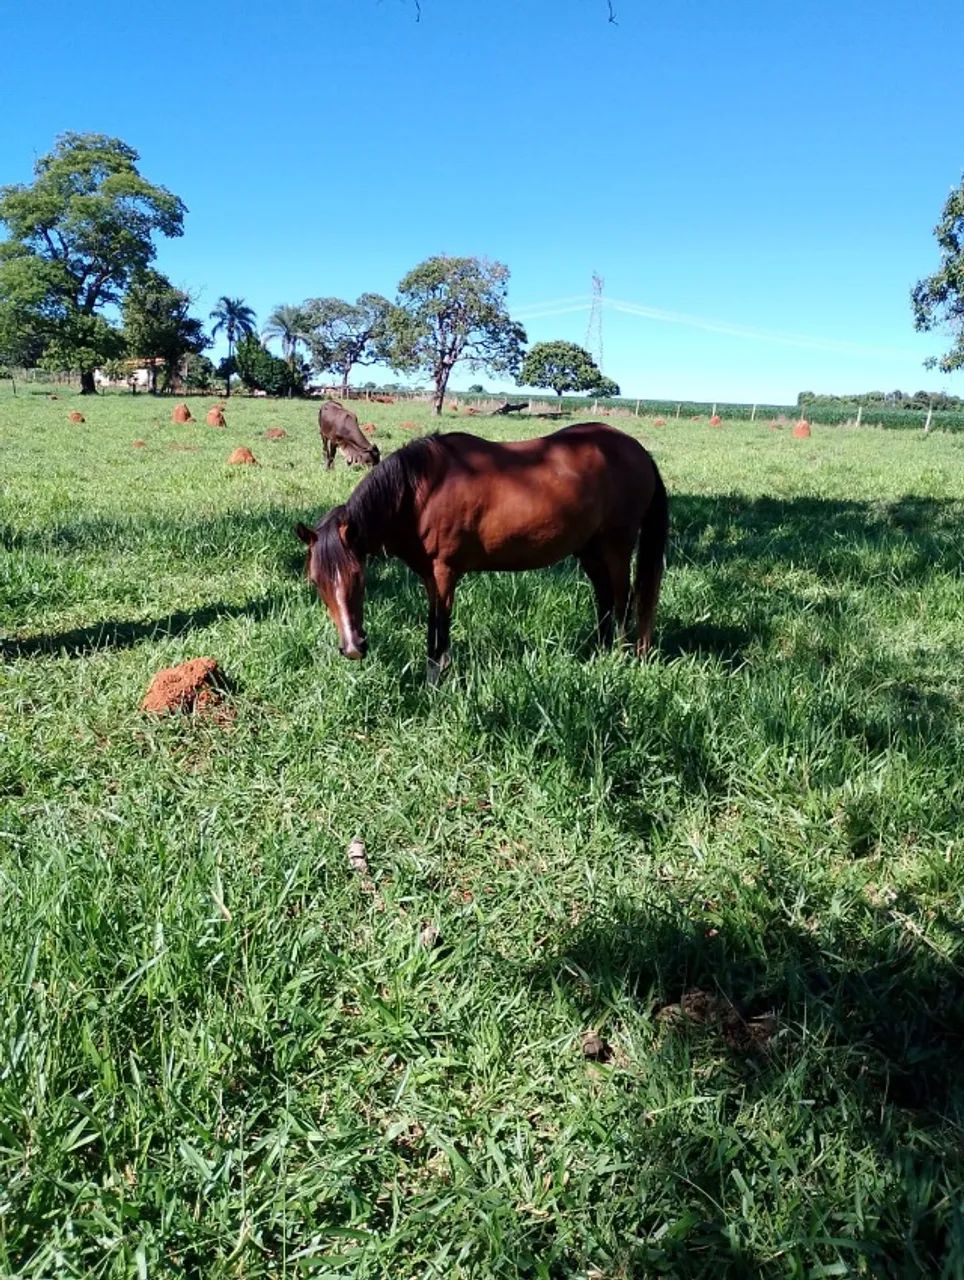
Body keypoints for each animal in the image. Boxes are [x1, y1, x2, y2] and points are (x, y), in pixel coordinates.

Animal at [295, 422, 668, 682]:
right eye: (315, 582)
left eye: (359, 576)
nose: (352, 648)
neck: (421, 492)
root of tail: (638, 451)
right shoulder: (429, 576)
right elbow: (434, 626)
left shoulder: (445, 573)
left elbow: (439, 627)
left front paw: (435, 683)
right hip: (589, 551)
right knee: (604, 598)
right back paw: (600, 655)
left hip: (616, 546)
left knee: (622, 600)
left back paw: (620, 657)